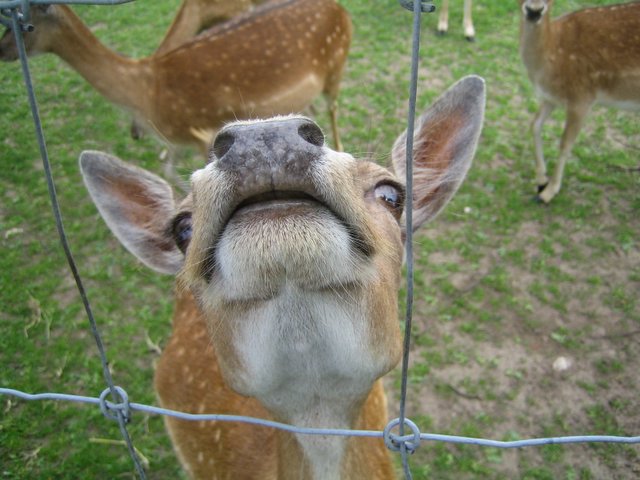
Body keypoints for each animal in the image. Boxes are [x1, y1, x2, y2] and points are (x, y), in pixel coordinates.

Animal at [0, 0, 350, 155]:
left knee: (334, 109)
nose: (3, 50)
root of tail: (342, 10)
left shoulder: (201, 135)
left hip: (336, 64)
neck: (145, 92)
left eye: (25, 25)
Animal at [519, 0, 640, 203]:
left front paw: (548, 193)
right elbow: (534, 125)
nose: (534, 10)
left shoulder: (582, 97)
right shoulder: (551, 97)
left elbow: (565, 143)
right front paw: (541, 180)